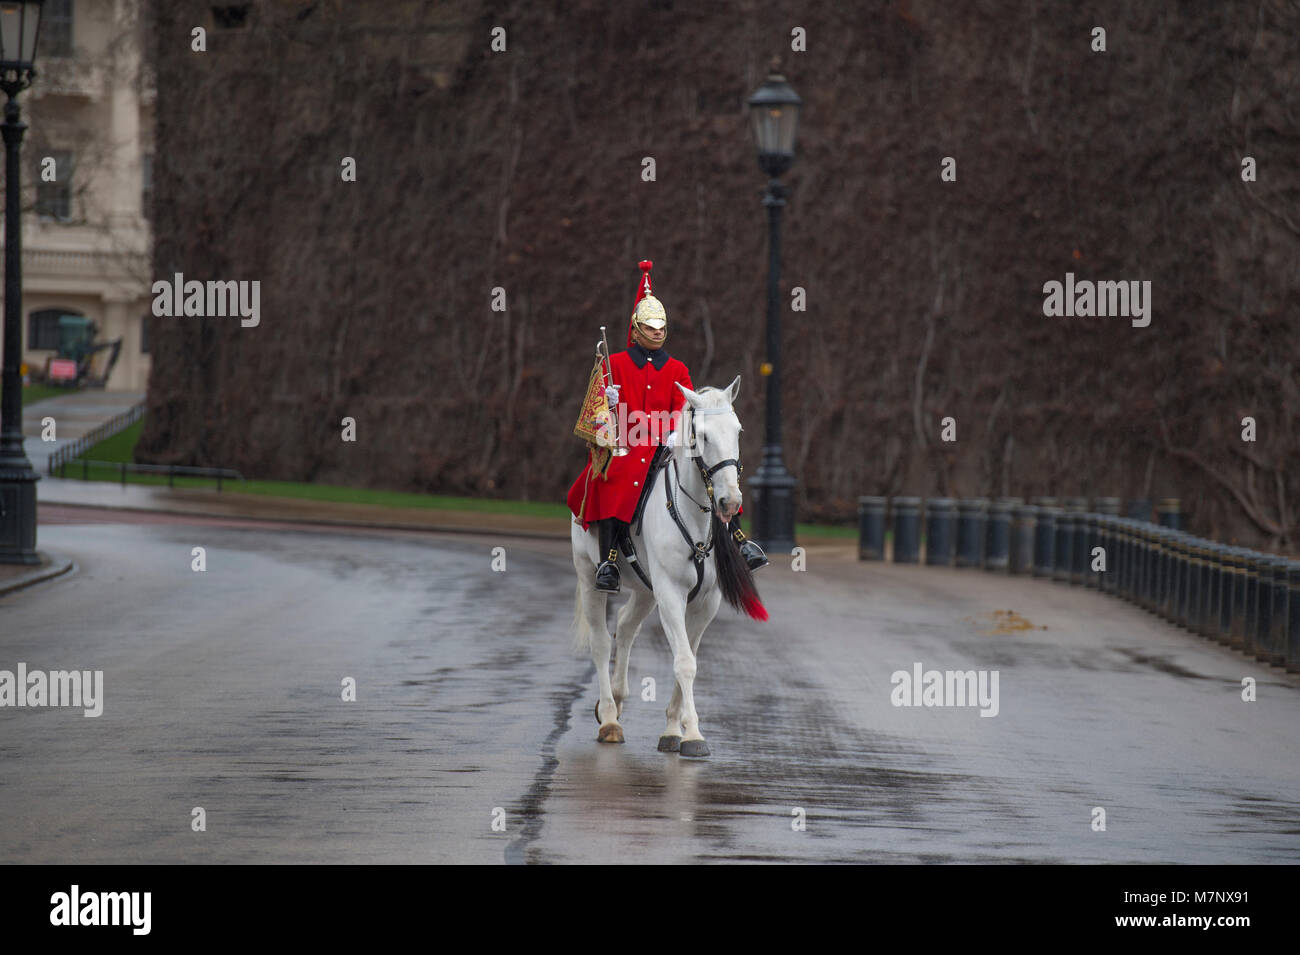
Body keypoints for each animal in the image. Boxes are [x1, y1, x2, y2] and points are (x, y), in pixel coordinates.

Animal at [569, 376, 759, 758]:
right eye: (702, 436)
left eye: (738, 431)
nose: (730, 502)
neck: (694, 514)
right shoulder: (671, 592)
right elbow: (684, 661)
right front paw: (694, 734)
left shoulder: (705, 602)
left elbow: (688, 656)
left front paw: (674, 728)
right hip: (588, 576)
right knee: (600, 642)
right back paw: (609, 717)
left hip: (646, 589)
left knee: (625, 626)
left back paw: (617, 698)